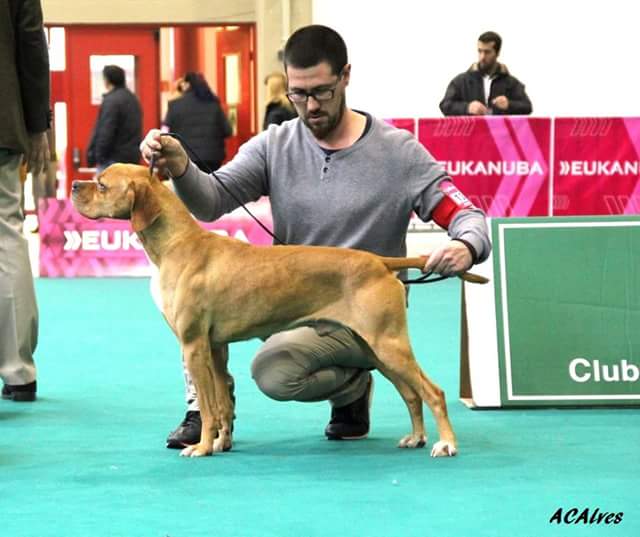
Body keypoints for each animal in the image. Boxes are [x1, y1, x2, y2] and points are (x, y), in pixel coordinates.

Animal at [72, 162, 488, 456]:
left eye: (103, 184)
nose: (75, 185)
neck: (176, 243)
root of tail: (379, 261)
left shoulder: (193, 345)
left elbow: (207, 405)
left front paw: (202, 447)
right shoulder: (215, 348)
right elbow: (221, 402)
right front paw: (221, 443)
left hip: (389, 343)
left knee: (433, 392)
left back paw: (446, 444)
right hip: (377, 349)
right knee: (412, 394)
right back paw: (416, 437)